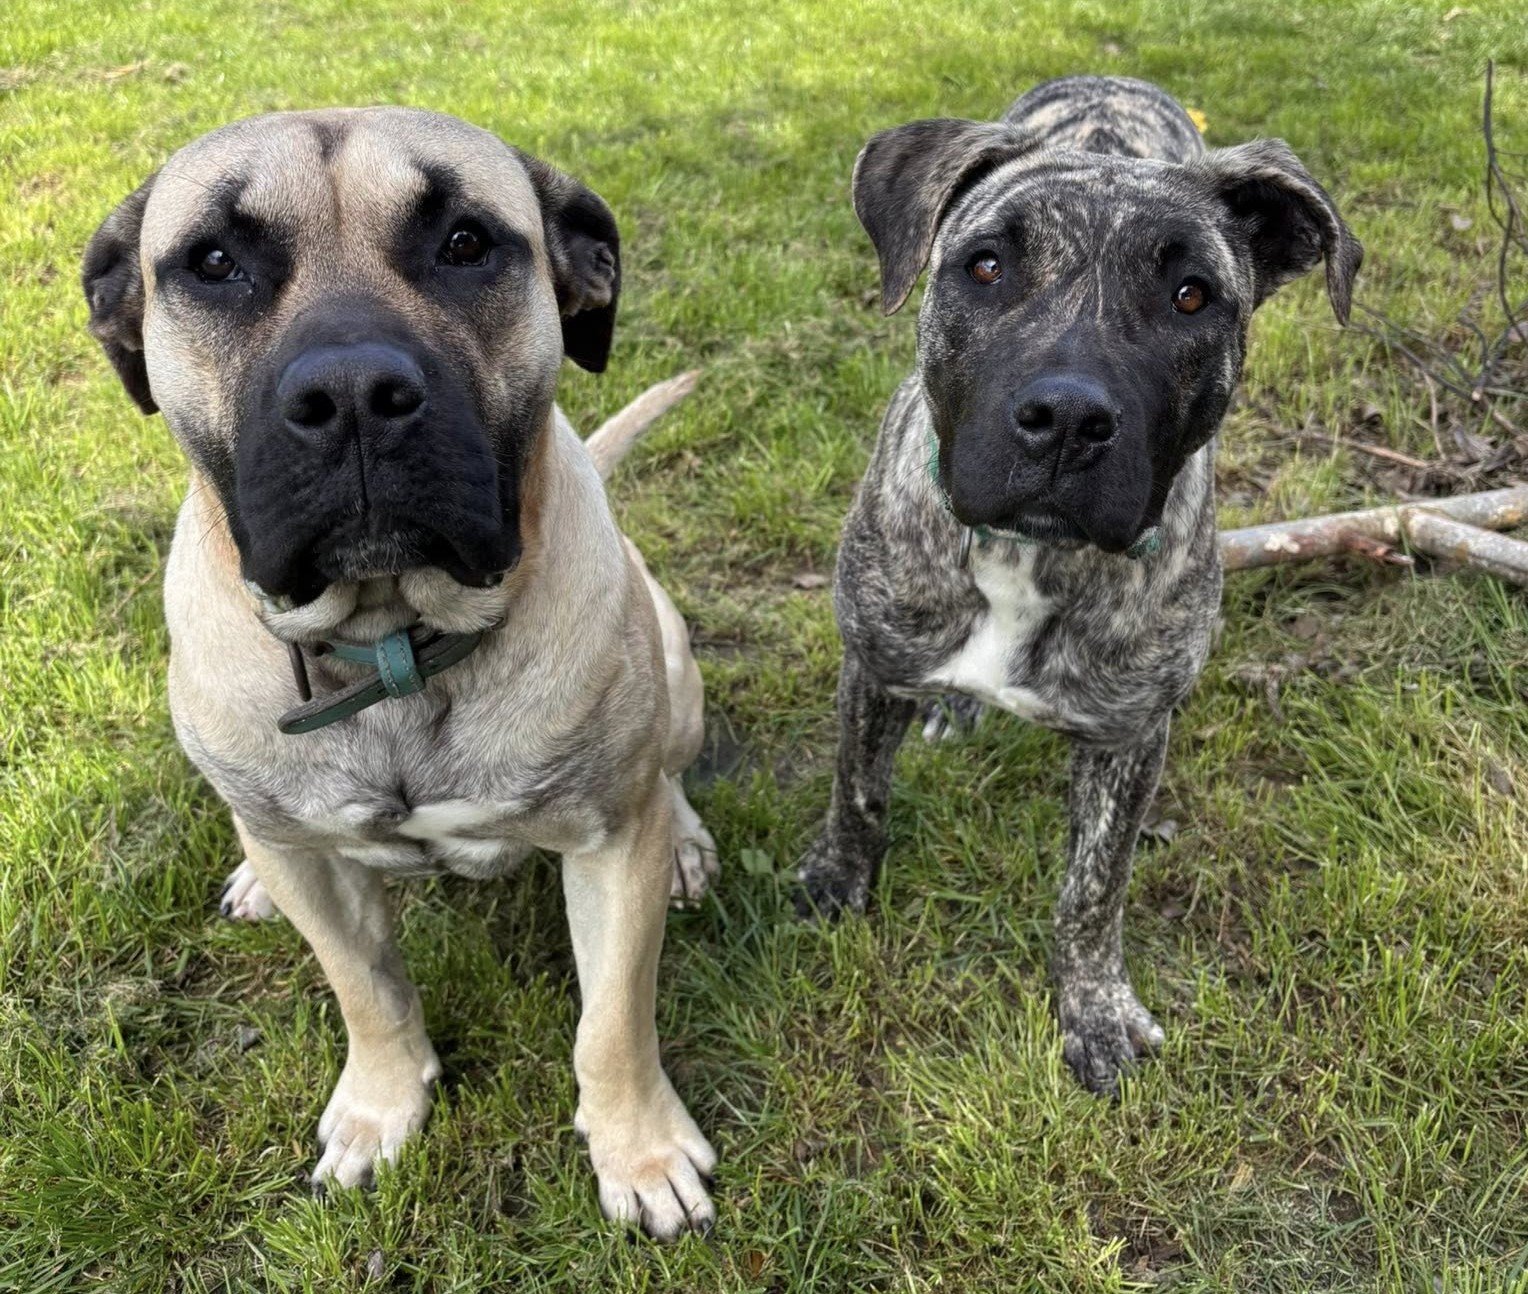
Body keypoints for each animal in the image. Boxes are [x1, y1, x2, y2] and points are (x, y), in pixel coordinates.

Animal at [83, 108, 719, 1237]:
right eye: (214, 262)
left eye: (465, 243)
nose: (351, 394)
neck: (389, 637)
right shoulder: (320, 875)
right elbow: (366, 988)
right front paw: (382, 1106)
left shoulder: (608, 843)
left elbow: (612, 1020)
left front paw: (639, 1149)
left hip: (674, 673)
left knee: (670, 772)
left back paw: (685, 837)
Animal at [798, 75, 1361, 1094]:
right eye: (984, 267)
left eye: (1191, 297)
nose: (1065, 416)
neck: (1031, 558)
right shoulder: (876, 661)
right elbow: (857, 790)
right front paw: (837, 880)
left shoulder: (1128, 736)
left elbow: (1094, 887)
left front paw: (1094, 1007)